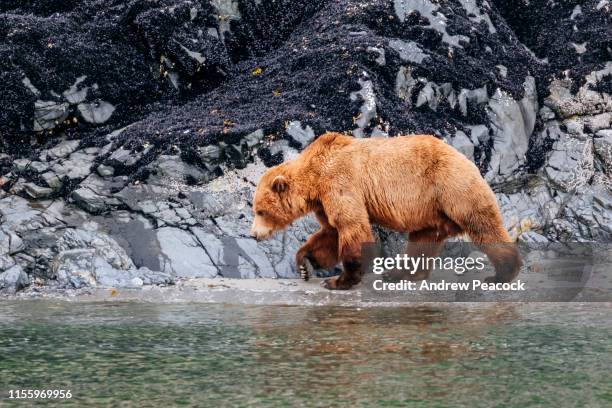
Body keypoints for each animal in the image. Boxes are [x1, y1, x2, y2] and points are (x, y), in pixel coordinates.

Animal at [249, 132, 520, 288]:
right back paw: (400, 273)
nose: (253, 235)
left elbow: (351, 226)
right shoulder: (324, 201)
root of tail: (468, 159)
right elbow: (331, 232)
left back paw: (502, 274)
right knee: (423, 239)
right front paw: (305, 263)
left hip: (451, 186)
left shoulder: (340, 182)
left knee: (481, 224)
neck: (315, 178)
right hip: (430, 209)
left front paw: (339, 280)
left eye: (260, 211)